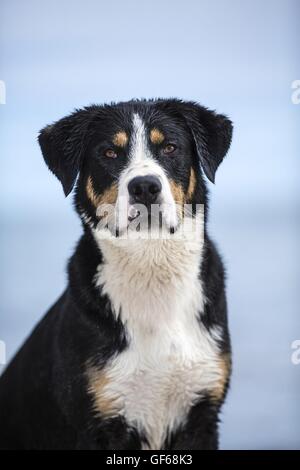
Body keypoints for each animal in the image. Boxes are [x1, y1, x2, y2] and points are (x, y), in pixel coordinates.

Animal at [0, 97, 233, 450]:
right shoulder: (100, 421)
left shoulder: (202, 412)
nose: (145, 187)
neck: (151, 270)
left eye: (170, 147)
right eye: (109, 152)